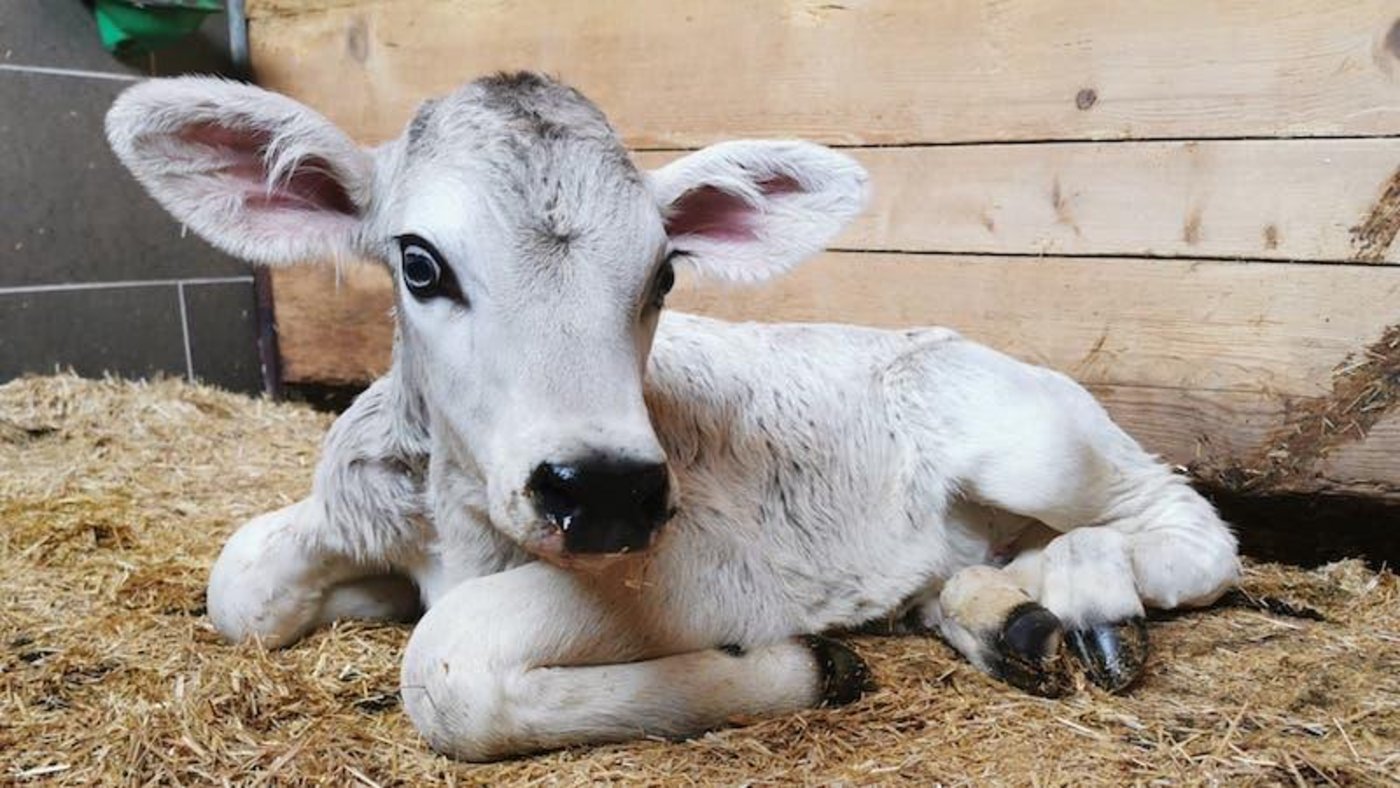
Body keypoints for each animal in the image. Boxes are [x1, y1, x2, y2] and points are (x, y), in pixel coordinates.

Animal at [106, 72, 1239, 762]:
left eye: (664, 271)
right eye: (419, 264)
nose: (602, 486)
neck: (455, 531)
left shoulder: (713, 560)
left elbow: (449, 661)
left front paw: (803, 663)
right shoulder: (360, 506)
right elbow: (241, 582)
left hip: (1035, 437)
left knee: (1190, 529)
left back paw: (1089, 592)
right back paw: (1008, 612)